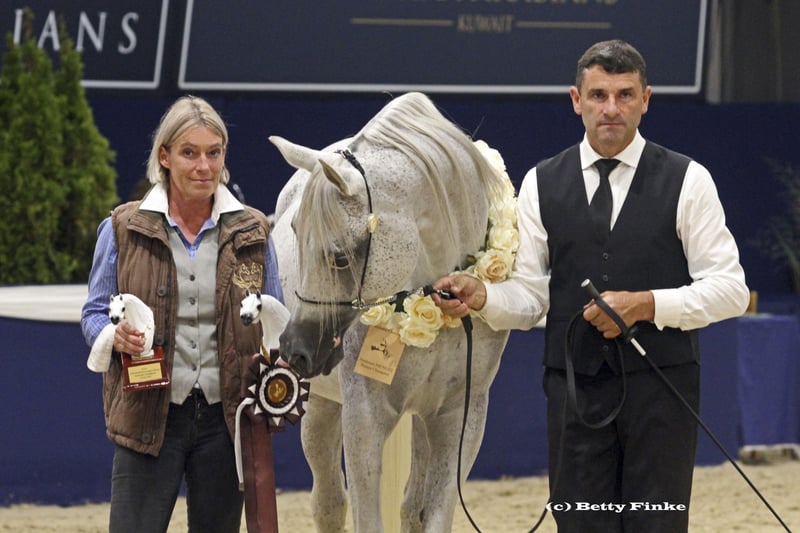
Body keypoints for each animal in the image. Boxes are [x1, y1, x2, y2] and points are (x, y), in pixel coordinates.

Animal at [271, 92, 513, 532]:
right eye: (296, 234)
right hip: (322, 408)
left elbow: (432, 514)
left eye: (339, 257)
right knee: (328, 502)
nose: (296, 349)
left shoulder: (459, 417)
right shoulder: (364, 419)